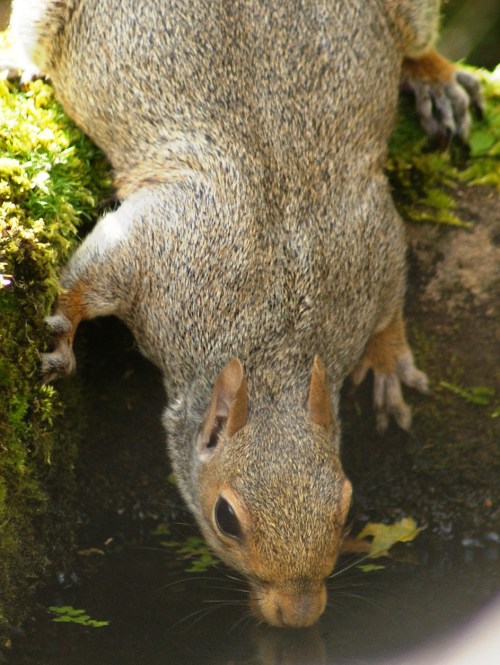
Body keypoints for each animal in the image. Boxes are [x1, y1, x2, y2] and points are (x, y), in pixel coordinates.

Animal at [9, 0, 481, 628]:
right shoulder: (159, 247)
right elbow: (89, 280)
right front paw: (60, 338)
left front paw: (388, 359)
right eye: (225, 519)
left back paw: (434, 75)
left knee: (418, 43)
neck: (273, 338)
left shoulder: (370, 236)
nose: (300, 615)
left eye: (346, 505)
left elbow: (389, 301)